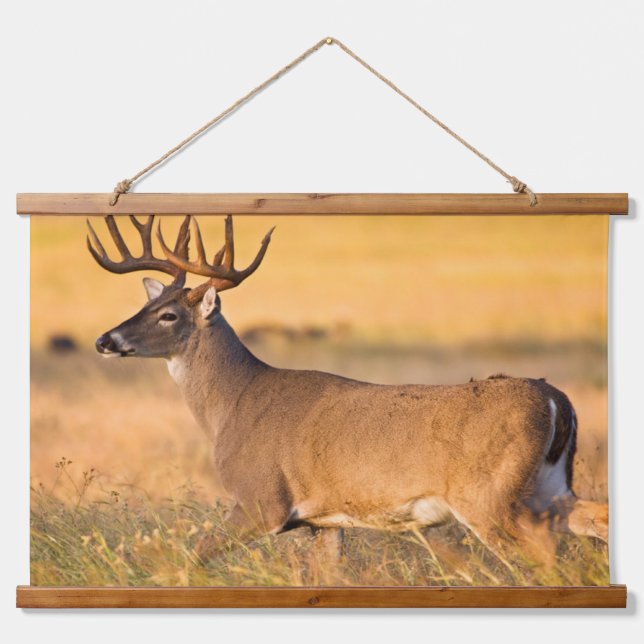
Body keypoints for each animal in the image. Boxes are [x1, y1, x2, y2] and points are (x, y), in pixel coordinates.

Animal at [87, 214, 609, 567]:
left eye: (168, 315)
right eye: (147, 303)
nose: (105, 340)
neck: (234, 403)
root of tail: (557, 400)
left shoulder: (262, 499)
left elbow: (192, 556)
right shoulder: (326, 523)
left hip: (488, 495)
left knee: (543, 553)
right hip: (547, 486)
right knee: (593, 519)